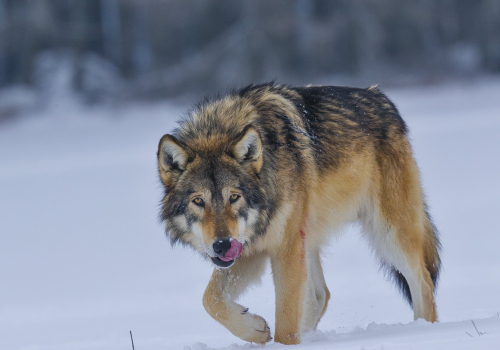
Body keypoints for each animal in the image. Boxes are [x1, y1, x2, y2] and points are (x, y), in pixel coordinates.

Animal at [157, 82, 442, 344]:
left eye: (234, 197)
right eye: (198, 201)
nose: (222, 245)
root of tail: (382, 97)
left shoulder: (283, 248)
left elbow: (285, 319)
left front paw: (282, 344)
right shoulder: (251, 249)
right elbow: (210, 299)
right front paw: (254, 330)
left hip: (386, 233)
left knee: (423, 282)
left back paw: (424, 333)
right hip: (308, 238)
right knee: (320, 295)